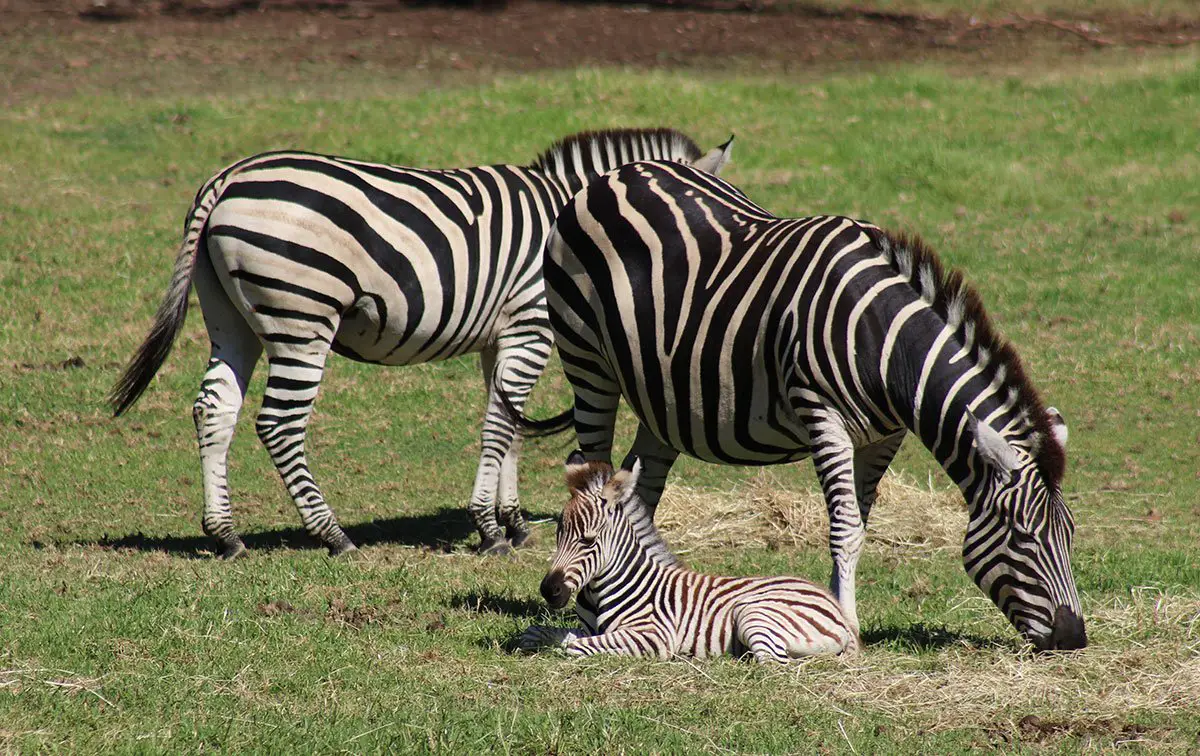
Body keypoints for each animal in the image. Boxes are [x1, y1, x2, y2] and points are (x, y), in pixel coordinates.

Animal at [108, 130, 734, 559]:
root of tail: (229, 179)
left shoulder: (501, 338)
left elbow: (508, 425)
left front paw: (511, 523)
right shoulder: (530, 326)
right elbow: (500, 426)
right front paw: (490, 529)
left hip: (230, 318)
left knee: (215, 409)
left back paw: (226, 535)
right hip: (302, 316)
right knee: (278, 424)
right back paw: (333, 535)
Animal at [520, 453, 859, 667]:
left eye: (588, 540)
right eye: (557, 534)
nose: (549, 590)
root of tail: (835, 606)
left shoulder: (653, 636)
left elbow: (572, 646)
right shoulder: (593, 629)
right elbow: (537, 632)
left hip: (753, 614)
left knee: (776, 663)